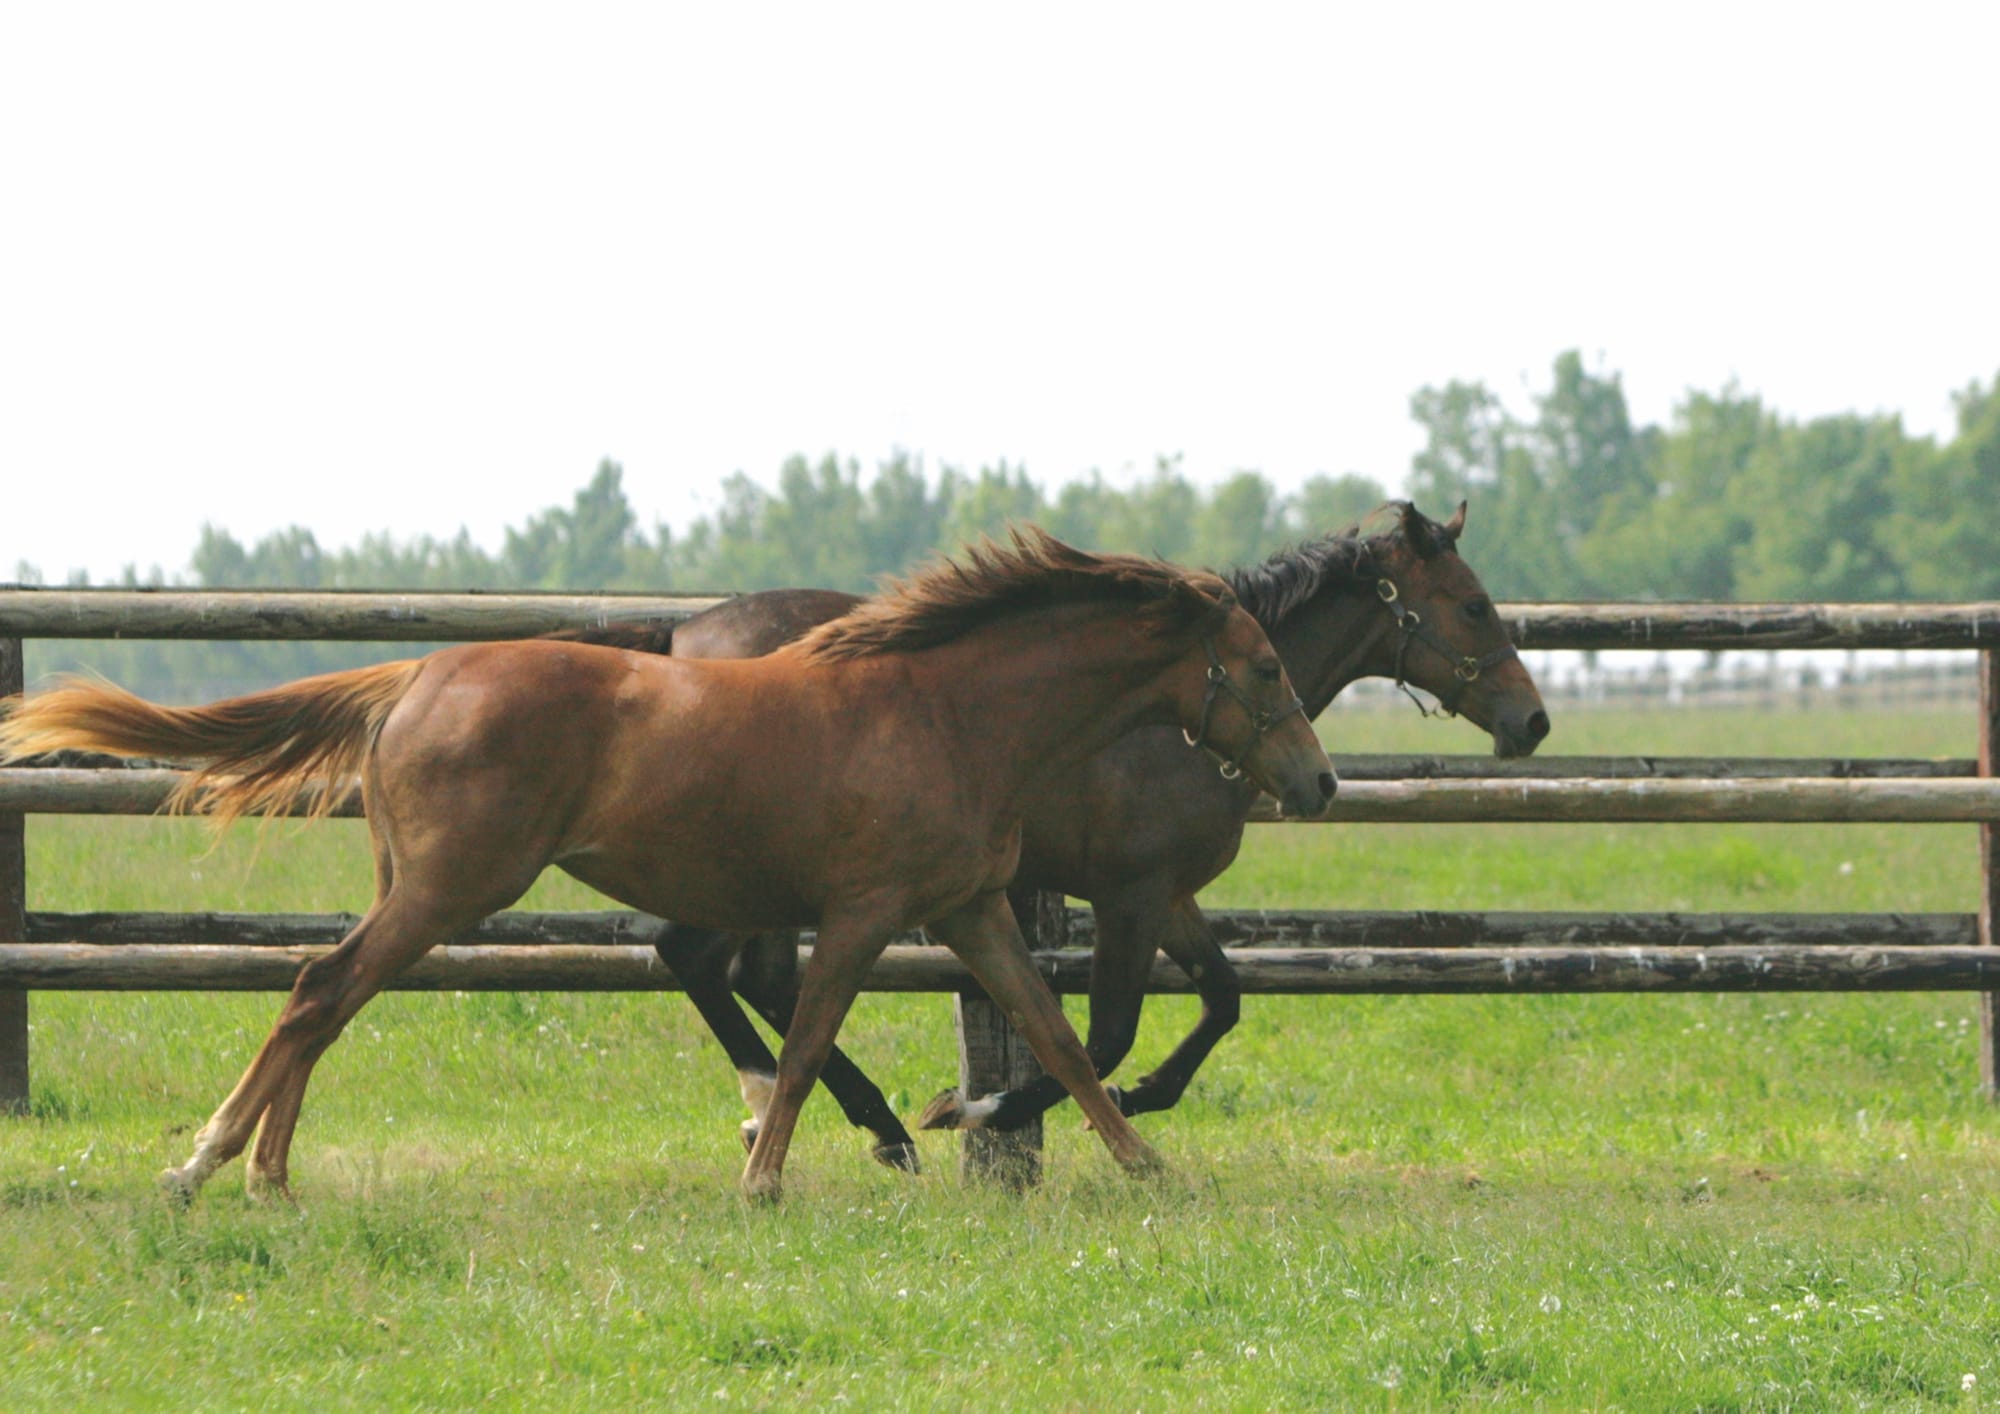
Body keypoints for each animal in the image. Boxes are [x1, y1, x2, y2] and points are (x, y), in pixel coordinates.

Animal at [0, 529, 1336, 1203]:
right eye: (1266, 666)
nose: (1318, 782)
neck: (947, 710)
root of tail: (417, 675)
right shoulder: (860, 910)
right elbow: (807, 1036)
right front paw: (767, 1178)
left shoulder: (966, 911)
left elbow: (1055, 1039)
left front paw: (1148, 1166)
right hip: (450, 889)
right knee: (324, 989)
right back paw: (216, 1165)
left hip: (416, 888)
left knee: (324, 995)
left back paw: (260, 1175)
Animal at [554, 501, 1546, 1162]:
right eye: (1474, 605)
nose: (1532, 722)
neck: (1167, 716)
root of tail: (683, 636)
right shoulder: (1127, 898)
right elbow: (1103, 1034)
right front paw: (979, 1111)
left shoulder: (1165, 897)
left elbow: (1221, 1000)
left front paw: (1138, 1100)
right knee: (708, 961)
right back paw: (837, 1118)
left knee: (721, 967)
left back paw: (825, 1116)